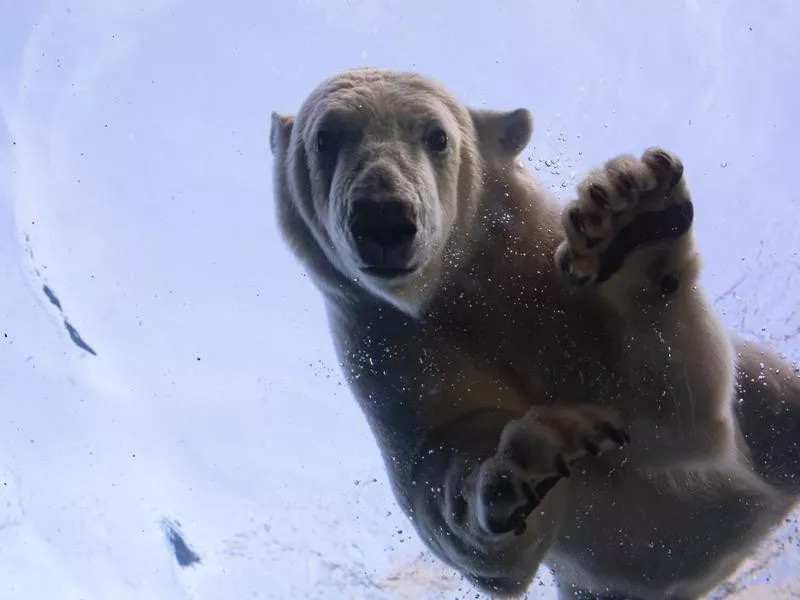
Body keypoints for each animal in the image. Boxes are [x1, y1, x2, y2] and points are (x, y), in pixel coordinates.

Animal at [268, 68, 800, 600]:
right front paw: (534, 454)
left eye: (437, 137)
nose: (383, 217)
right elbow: (446, 492)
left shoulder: (543, 277)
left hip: (768, 401)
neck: (459, 283)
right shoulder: (390, 349)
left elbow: (677, 414)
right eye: (325, 137)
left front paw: (636, 220)